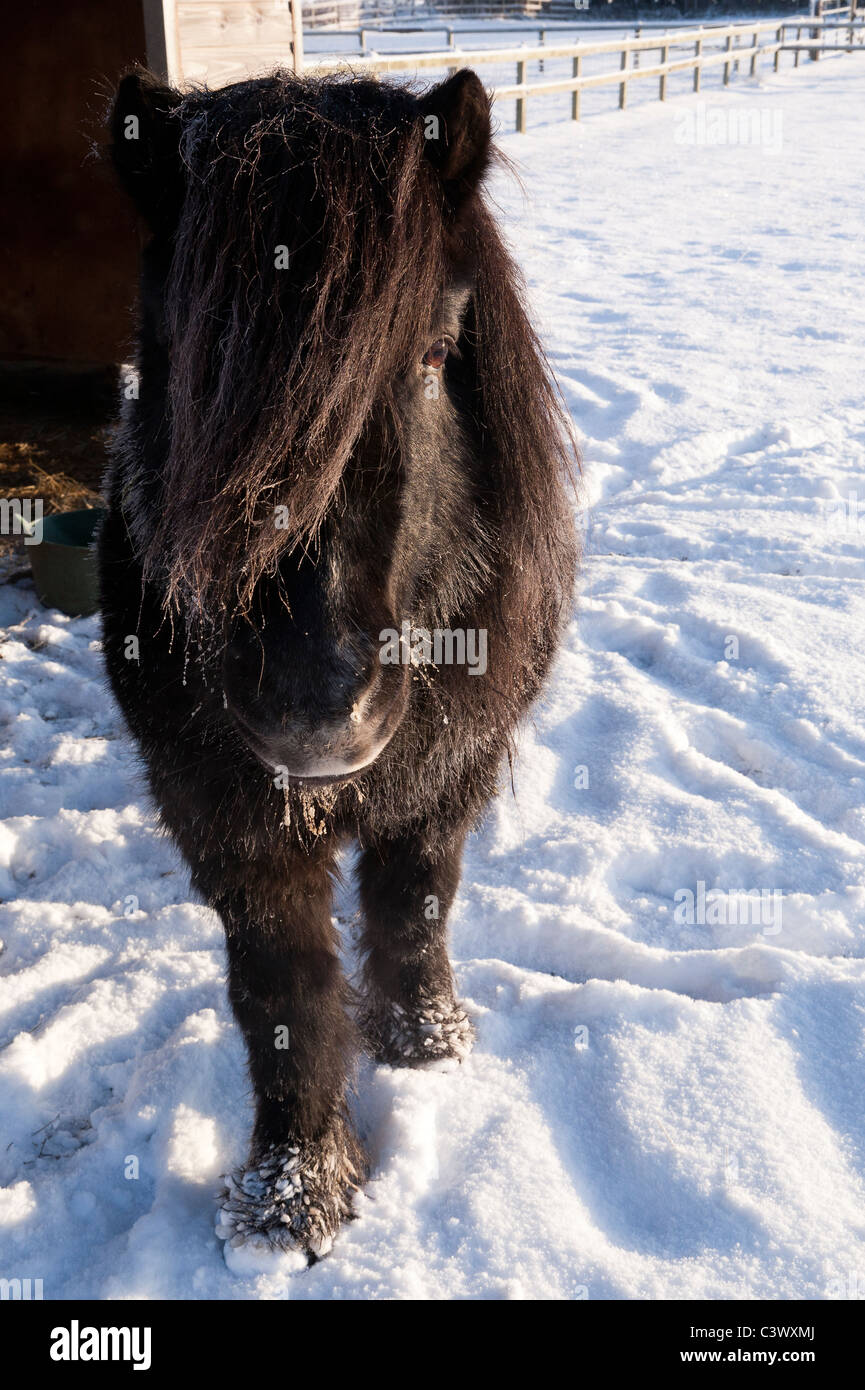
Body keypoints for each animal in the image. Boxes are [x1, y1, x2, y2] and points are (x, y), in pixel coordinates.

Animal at [100, 67, 575, 1262]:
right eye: (192, 368)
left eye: (429, 359)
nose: (315, 714)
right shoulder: (230, 822)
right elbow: (285, 998)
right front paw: (293, 1196)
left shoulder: (451, 776)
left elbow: (415, 906)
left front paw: (427, 1042)